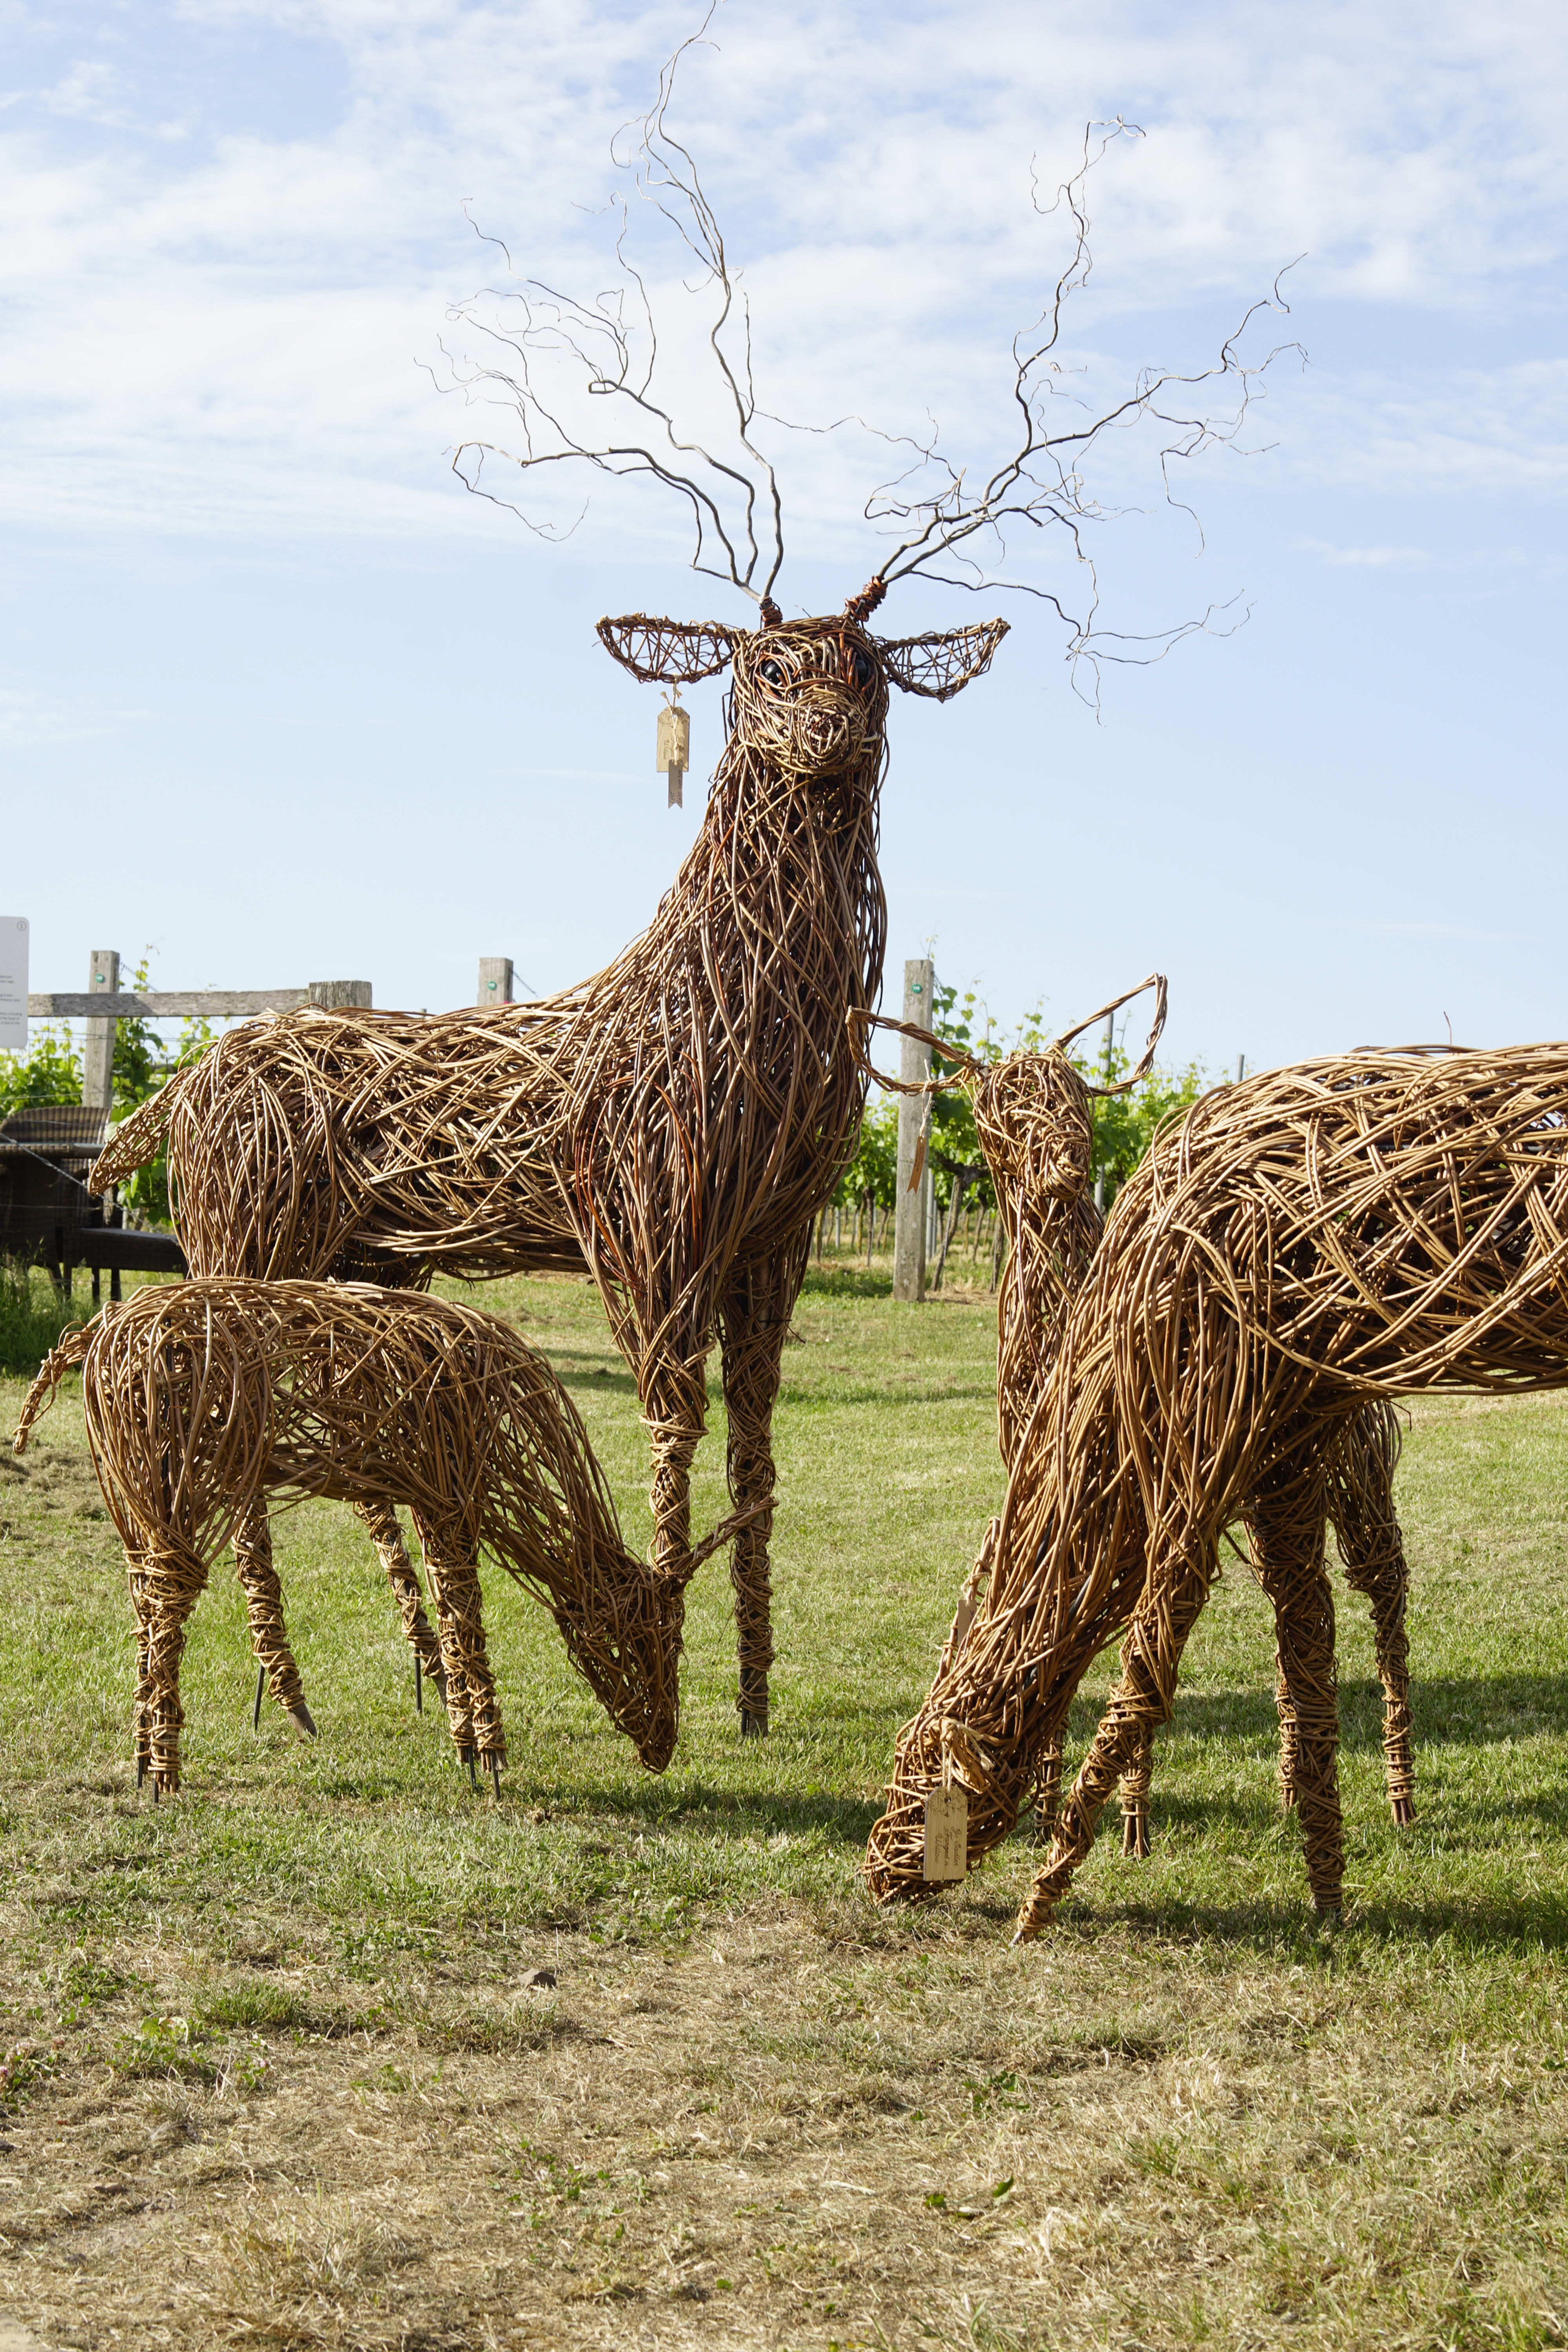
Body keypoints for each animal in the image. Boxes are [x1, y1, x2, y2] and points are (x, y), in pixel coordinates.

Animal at [14, 1279, 746, 1795]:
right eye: (651, 1638)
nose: (662, 1749)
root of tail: (99, 1335)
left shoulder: (431, 1501)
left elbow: (448, 1613)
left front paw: (464, 1754)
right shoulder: (455, 1499)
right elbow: (467, 1614)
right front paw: (493, 1764)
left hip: (137, 1502)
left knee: (142, 1605)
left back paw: (142, 1761)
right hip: (186, 1499)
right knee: (168, 1608)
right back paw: (166, 1776)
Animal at [863, 1039, 1558, 1932]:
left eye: (918, 1771)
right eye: (1001, 1108)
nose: (878, 1867)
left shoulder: (1196, 1478)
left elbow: (1145, 1667)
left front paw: (1048, 1891)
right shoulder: (1271, 1457)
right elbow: (1293, 1648)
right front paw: (1323, 1895)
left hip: (1359, 1488)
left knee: (1387, 1595)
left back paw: (1402, 1799)